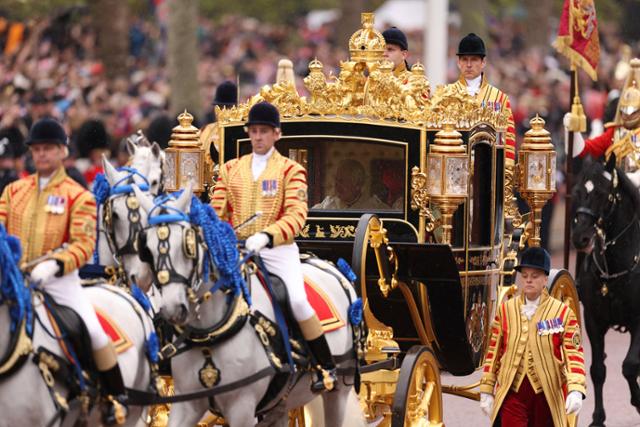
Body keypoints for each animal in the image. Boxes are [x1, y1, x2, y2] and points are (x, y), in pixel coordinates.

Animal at [131, 186, 364, 427]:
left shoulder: (242, 408)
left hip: (338, 389)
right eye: (147, 248)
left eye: (188, 246)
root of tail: (333, 268)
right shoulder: (187, 404)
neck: (212, 334)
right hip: (281, 400)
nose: (172, 308)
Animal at [572, 155, 640, 426]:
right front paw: (597, 418)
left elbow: (630, 365)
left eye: (602, 193)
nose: (580, 237)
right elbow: (597, 370)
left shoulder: (639, 322)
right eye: (576, 191)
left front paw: (638, 401)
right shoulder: (594, 320)